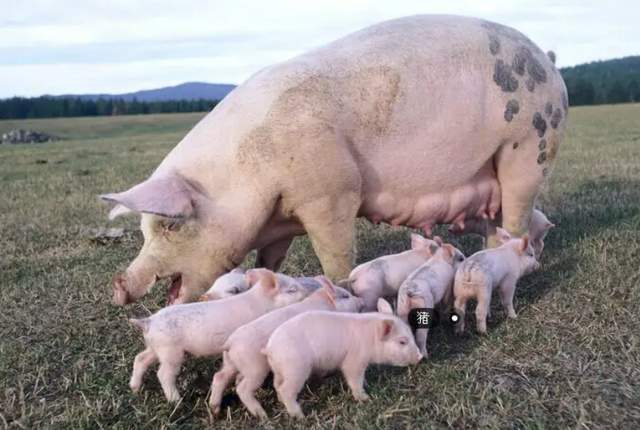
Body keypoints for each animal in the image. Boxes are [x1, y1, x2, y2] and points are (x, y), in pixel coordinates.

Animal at [101, 16, 566, 305]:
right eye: (144, 229)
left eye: (170, 225)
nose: (119, 285)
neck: (242, 175)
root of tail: (547, 60)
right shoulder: (279, 216)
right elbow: (269, 258)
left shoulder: (332, 192)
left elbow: (336, 253)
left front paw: (341, 290)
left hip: (530, 144)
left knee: (515, 219)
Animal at [127, 269, 314, 402]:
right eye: (292, 290)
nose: (309, 291)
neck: (262, 301)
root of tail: (148, 321)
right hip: (170, 351)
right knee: (163, 373)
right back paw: (176, 400)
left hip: (155, 347)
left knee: (140, 358)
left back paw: (135, 388)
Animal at [208, 277, 364, 419]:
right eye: (346, 296)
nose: (361, 301)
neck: (326, 303)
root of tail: (230, 343)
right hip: (255, 368)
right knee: (242, 389)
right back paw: (262, 415)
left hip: (230, 363)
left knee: (219, 377)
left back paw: (215, 410)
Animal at [264, 298, 422, 418]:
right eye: (402, 342)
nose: (420, 357)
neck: (371, 338)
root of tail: (270, 348)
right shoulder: (354, 360)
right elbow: (354, 378)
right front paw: (365, 398)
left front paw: (367, 385)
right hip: (295, 369)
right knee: (286, 389)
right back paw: (300, 416)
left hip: (280, 370)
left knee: (277, 385)